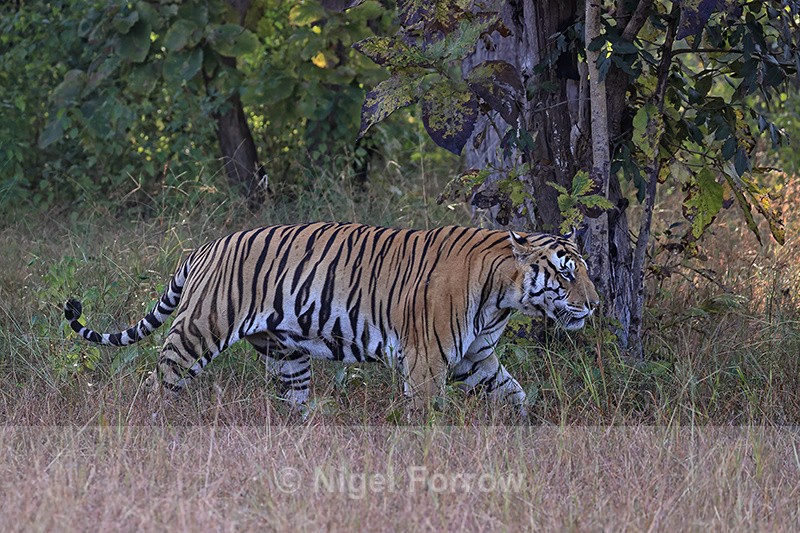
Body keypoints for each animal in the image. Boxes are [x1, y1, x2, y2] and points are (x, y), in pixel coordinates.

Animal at [64, 222, 599, 416]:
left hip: (285, 356)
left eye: (586, 271)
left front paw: (524, 432)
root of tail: (205, 247)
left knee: (292, 402)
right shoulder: (426, 362)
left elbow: (516, 394)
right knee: (159, 381)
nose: (595, 304)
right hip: (198, 331)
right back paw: (158, 425)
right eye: (566, 273)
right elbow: (428, 415)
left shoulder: (476, 359)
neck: (502, 297)